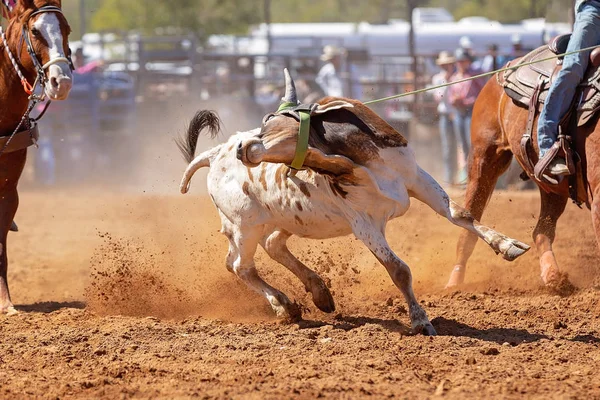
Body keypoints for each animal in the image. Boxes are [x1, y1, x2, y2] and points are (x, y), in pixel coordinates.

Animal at [176, 69, 528, 334]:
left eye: (272, 125)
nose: (243, 147)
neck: (362, 161)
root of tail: (214, 154)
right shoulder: (363, 223)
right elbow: (399, 269)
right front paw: (420, 320)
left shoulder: (417, 179)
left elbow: (461, 215)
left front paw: (507, 245)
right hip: (245, 226)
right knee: (241, 266)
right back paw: (284, 305)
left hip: (284, 218)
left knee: (272, 245)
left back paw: (319, 293)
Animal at [448, 34, 600, 290]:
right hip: (484, 159)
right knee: (468, 224)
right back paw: (454, 282)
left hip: (552, 187)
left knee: (541, 231)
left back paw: (553, 276)